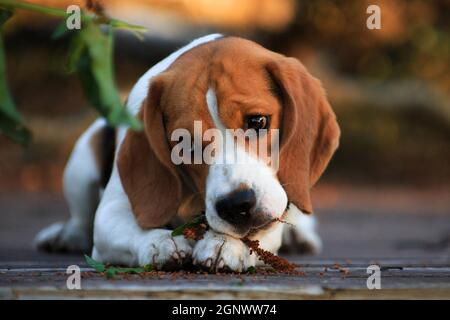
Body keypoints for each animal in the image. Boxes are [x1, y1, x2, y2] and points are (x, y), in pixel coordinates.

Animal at [35, 33, 340, 272]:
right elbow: (131, 229)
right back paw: (64, 235)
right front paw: (159, 242)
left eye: (257, 121)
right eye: (185, 145)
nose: (237, 205)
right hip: (82, 159)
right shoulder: (109, 214)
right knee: (80, 219)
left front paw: (226, 244)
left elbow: (263, 233)